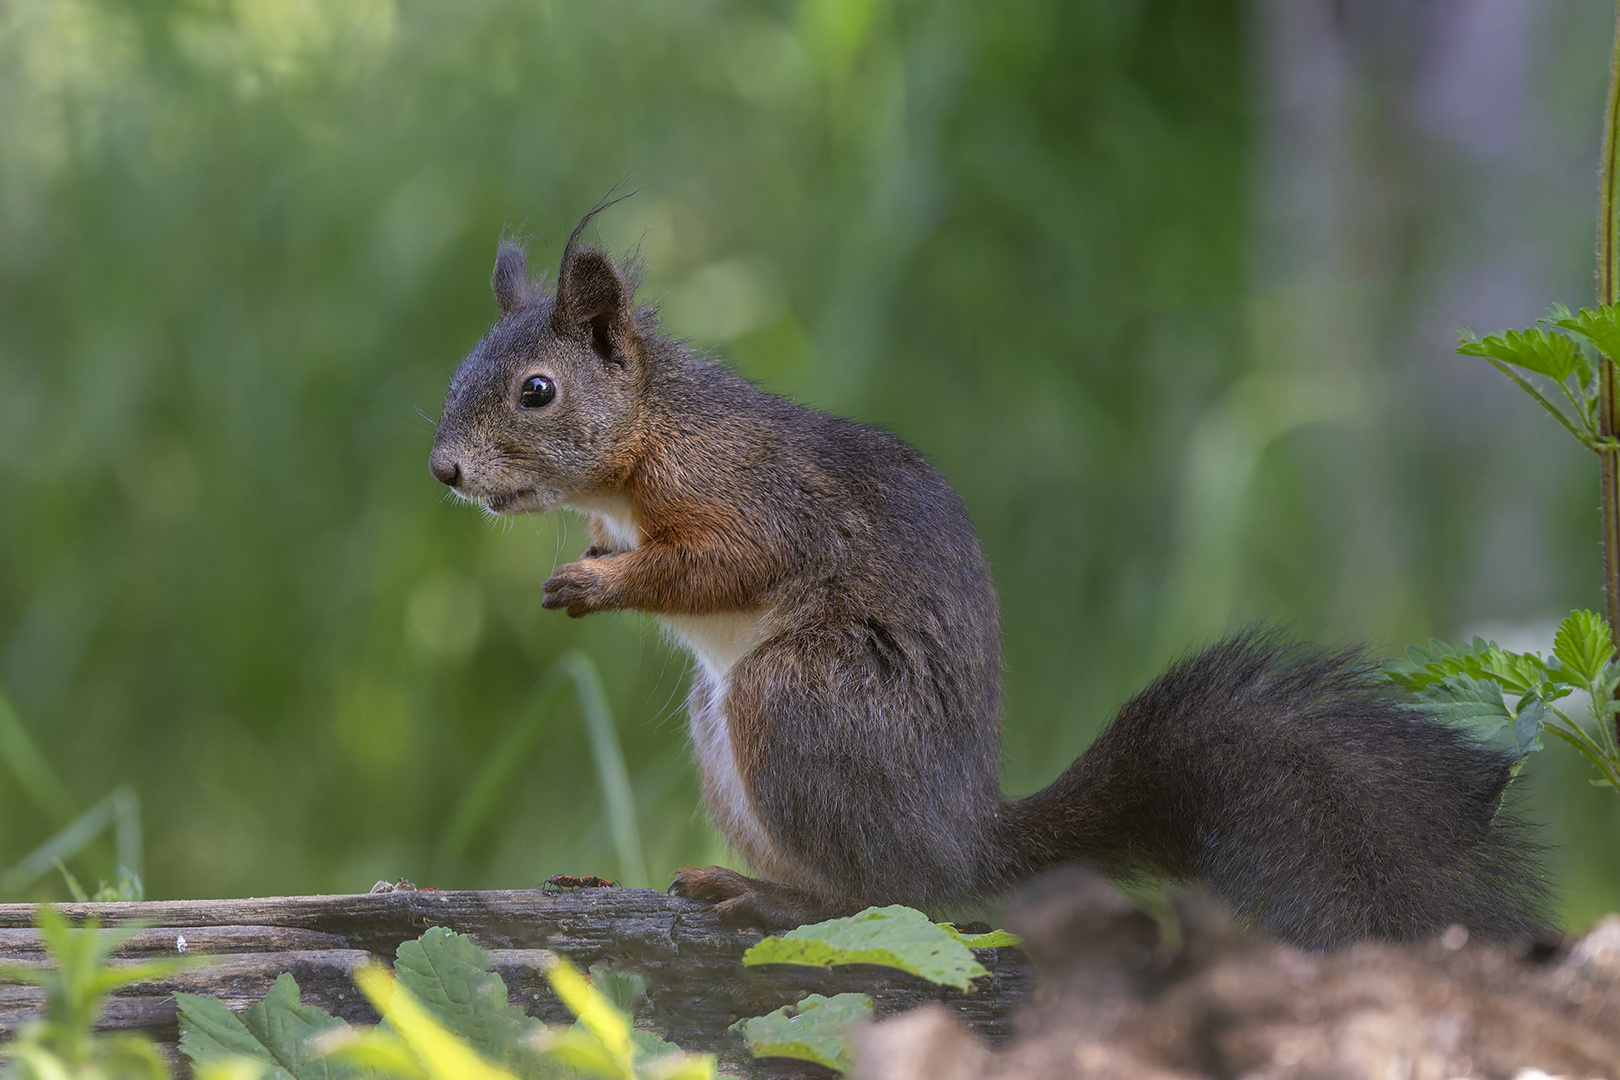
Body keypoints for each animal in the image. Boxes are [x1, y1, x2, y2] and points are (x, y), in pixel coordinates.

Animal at [424, 208, 1548, 945]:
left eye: (536, 391)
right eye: (462, 370)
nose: (445, 471)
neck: (655, 434)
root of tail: (964, 838)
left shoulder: (755, 498)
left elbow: (725, 565)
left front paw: (597, 584)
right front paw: (592, 562)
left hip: (797, 700)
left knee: (894, 898)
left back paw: (784, 900)